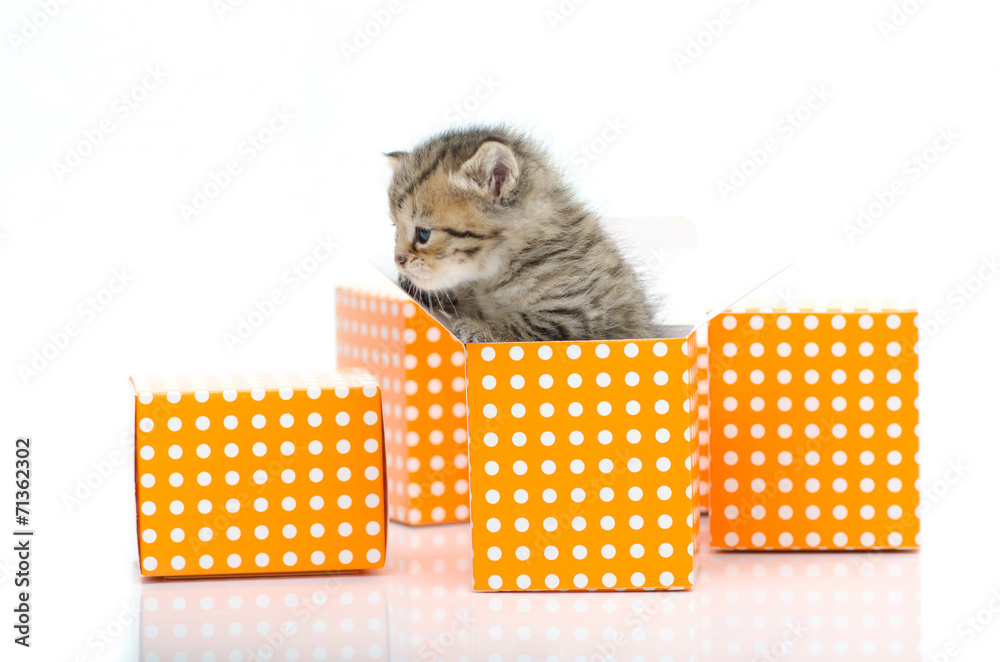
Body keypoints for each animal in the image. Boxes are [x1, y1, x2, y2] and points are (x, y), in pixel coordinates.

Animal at [384, 126, 656, 342]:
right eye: (395, 229)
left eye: (423, 234)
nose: (398, 260)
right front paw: (438, 293)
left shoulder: (580, 314)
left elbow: (526, 324)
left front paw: (481, 330)